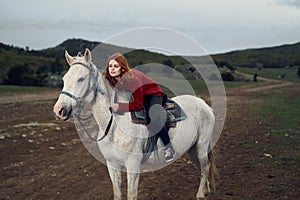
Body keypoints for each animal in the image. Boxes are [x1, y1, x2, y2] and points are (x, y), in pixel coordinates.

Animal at [53, 48, 218, 200]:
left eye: (81, 78)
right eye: (64, 78)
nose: (59, 110)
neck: (114, 126)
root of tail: (205, 105)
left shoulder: (132, 165)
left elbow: (131, 195)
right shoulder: (112, 165)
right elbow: (117, 194)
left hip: (201, 146)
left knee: (205, 167)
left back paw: (200, 195)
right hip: (192, 148)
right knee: (201, 168)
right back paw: (205, 192)